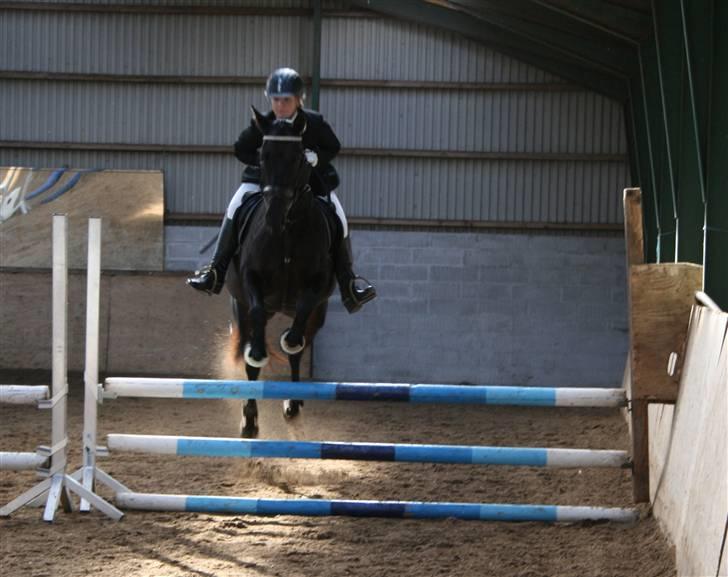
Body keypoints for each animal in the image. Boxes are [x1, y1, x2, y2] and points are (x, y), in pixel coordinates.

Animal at [226, 106, 336, 436]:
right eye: (262, 157)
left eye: (298, 158)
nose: (274, 215)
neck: (286, 231)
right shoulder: (251, 282)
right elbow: (257, 327)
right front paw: (258, 353)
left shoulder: (317, 287)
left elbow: (296, 334)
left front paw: (288, 340)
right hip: (241, 306)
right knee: (252, 349)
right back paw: (250, 419)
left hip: (318, 315)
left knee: (299, 348)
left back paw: (293, 404)